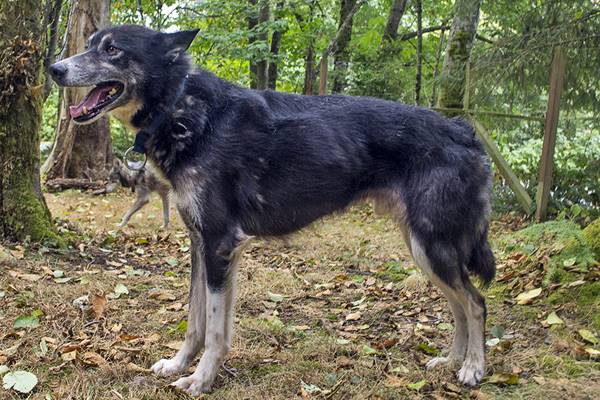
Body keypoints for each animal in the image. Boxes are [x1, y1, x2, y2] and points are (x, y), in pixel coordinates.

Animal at [49, 25, 494, 396]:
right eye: (90, 44)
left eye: (113, 50)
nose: (54, 69)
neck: (183, 110)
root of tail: (464, 132)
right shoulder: (200, 245)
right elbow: (196, 322)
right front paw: (179, 365)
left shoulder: (220, 245)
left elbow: (214, 330)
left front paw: (201, 379)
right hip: (425, 250)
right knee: (458, 305)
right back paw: (450, 360)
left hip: (433, 247)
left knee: (475, 303)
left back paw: (473, 368)